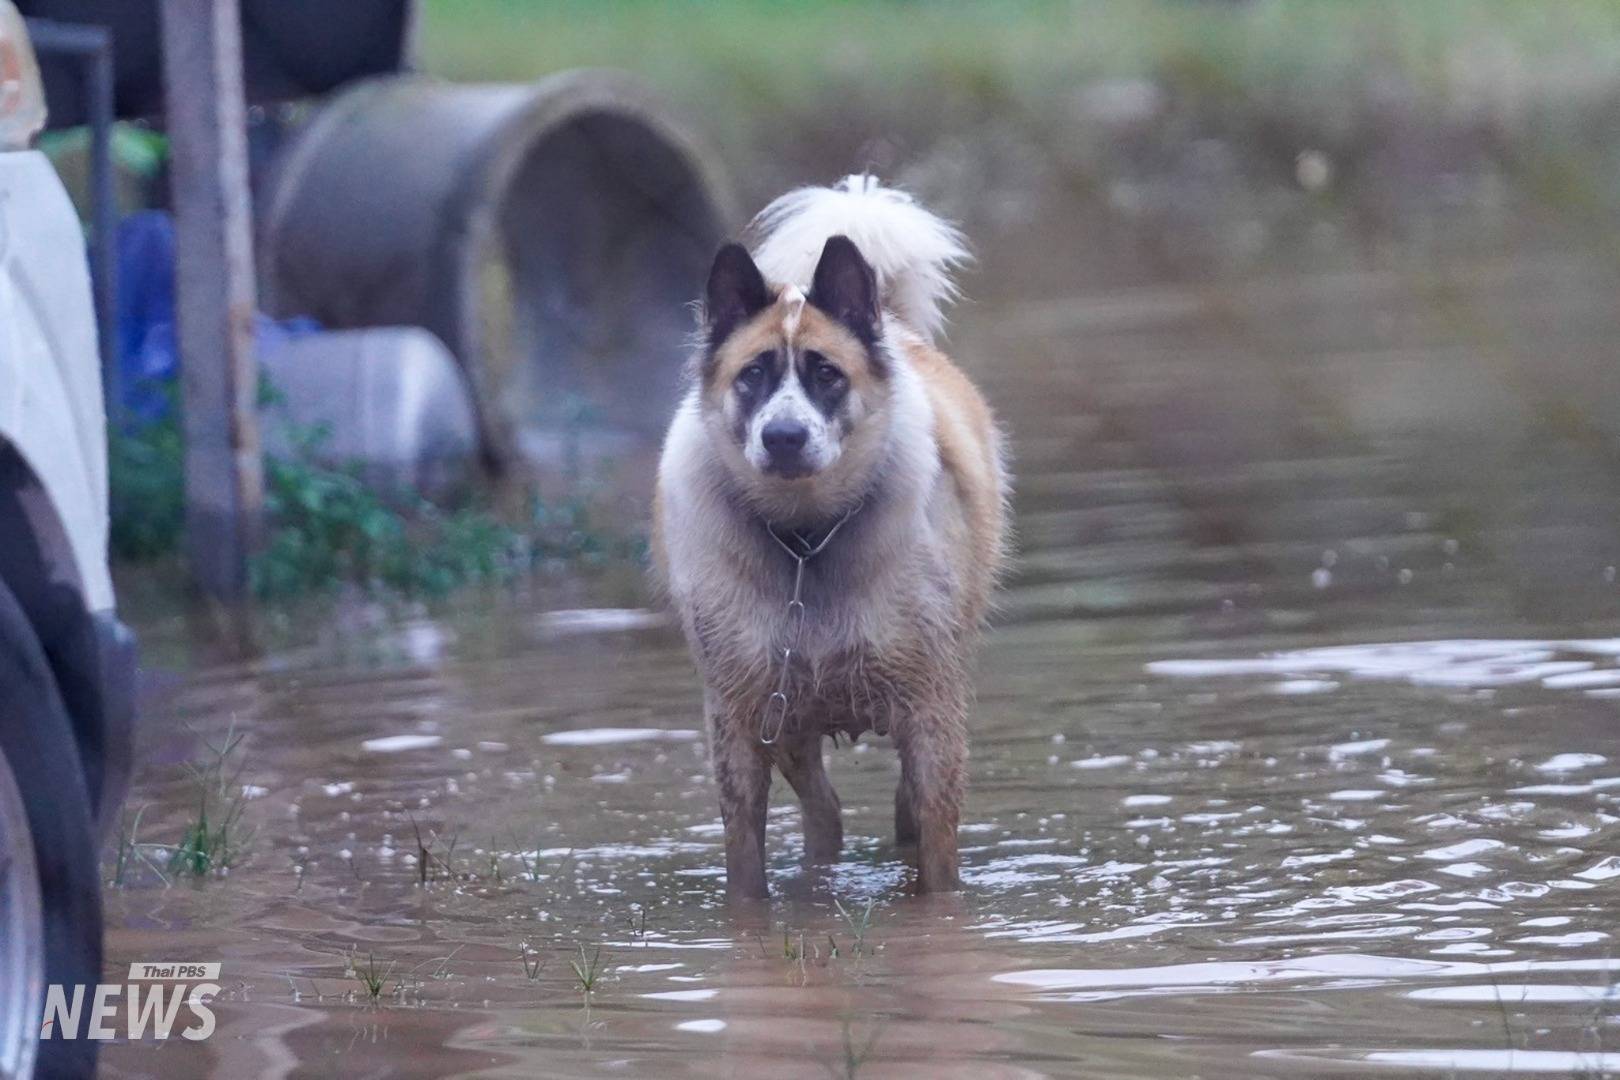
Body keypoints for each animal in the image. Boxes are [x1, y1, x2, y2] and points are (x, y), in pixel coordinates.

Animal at [651, 177, 1004, 900]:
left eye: (826, 372)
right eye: (753, 374)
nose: (784, 437)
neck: (806, 540)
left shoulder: (930, 711)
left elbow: (936, 851)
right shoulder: (741, 717)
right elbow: (745, 856)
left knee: (895, 808)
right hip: (790, 719)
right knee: (826, 811)